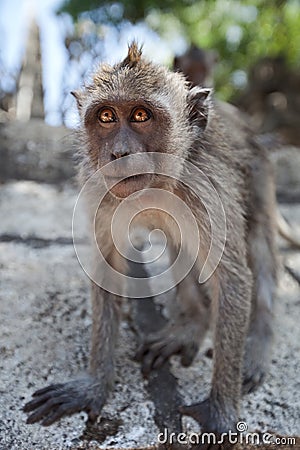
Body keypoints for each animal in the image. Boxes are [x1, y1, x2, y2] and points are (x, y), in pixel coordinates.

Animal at [23, 43, 276, 440]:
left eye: (141, 115)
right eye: (107, 116)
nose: (119, 153)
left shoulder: (208, 188)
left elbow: (233, 278)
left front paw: (221, 411)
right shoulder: (98, 188)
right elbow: (108, 267)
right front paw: (95, 385)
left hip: (261, 174)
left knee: (260, 242)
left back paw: (257, 342)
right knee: (177, 242)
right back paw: (192, 325)